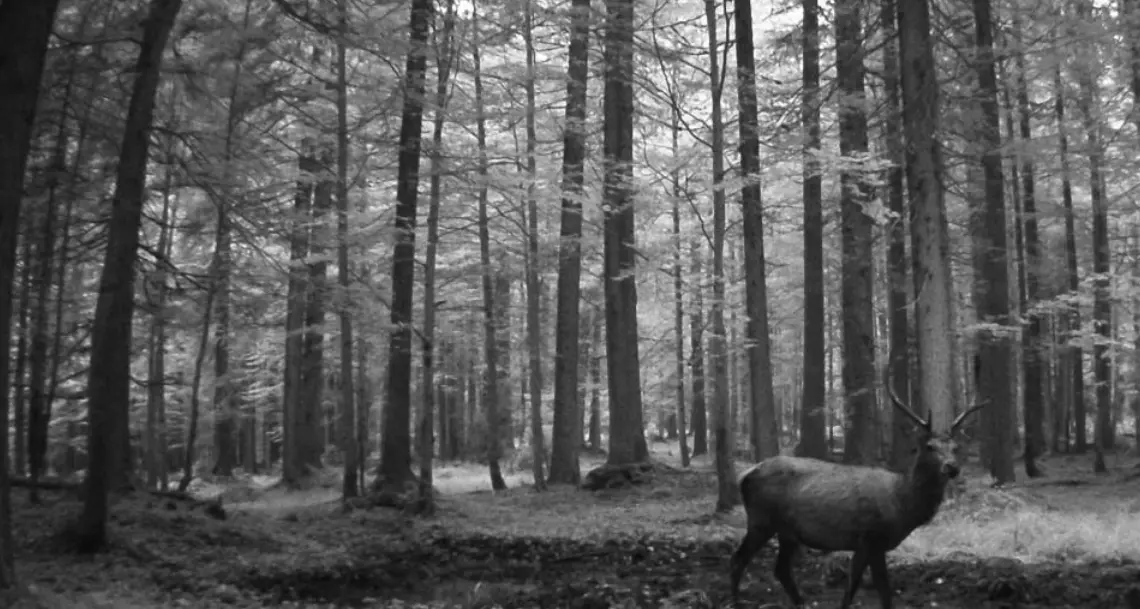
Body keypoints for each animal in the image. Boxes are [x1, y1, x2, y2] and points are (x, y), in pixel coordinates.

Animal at [729, 384, 982, 609]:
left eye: (955, 447)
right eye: (929, 446)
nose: (952, 467)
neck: (901, 504)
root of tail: (744, 475)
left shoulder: (872, 545)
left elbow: (872, 589)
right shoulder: (869, 537)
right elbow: (865, 589)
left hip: (787, 531)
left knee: (780, 569)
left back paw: (802, 604)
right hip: (761, 520)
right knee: (737, 560)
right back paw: (736, 603)